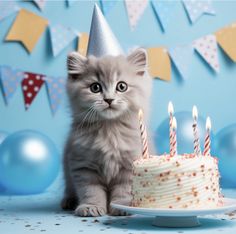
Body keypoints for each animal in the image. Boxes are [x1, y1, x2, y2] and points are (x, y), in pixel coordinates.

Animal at [60, 48, 152, 218]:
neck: (109, 130)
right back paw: (68, 201)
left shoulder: (129, 165)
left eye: (122, 86)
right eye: (95, 88)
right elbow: (91, 191)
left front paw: (122, 206)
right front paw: (91, 207)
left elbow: (124, 190)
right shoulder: (83, 166)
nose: (109, 99)